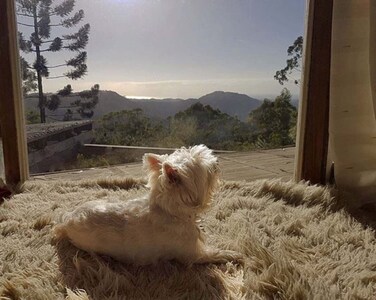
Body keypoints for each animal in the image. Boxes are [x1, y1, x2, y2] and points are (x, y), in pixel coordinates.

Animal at [56, 145, 244, 264]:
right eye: (205, 166)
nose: (217, 161)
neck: (170, 210)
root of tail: (66, 221)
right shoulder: (191, 252)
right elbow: (212, 253)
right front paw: (233, 254)